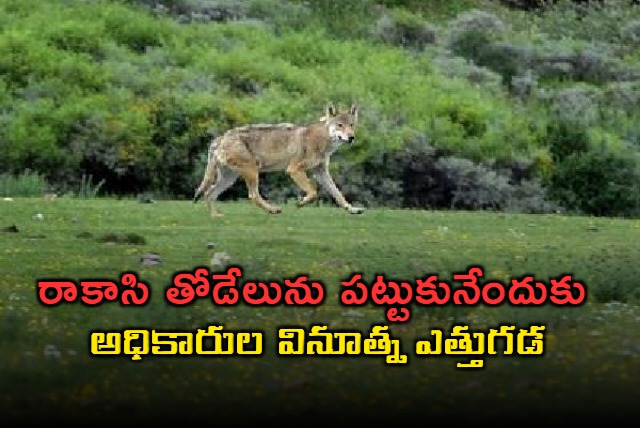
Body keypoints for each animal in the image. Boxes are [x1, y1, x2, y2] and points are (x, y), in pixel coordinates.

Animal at [193, 103, 365, 217]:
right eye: (340, 125)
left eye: (351, 125)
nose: (351, 137)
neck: (322, 140)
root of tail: (221, 137)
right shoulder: (294, 169)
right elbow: (313, 192)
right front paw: (300, 203)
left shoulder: (321, 172)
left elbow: (338, 194)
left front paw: (352, 209)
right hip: (252, 171)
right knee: (252, 196)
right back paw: (273, 209)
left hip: (230, 179)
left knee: (209, 193)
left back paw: (216, 216)